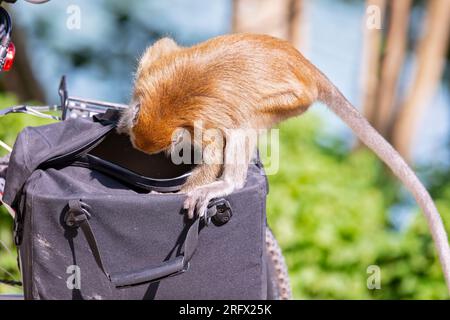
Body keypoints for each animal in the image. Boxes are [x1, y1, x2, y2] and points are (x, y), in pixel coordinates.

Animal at [118, 33, 450, 292]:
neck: (167, 107)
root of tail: (305, 67)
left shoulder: (203, 126)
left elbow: (218, 149)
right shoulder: (152, 73)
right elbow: (163, 45)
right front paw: (121, 121)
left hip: (288, 99)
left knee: (244, 118)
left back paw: (227, 183)